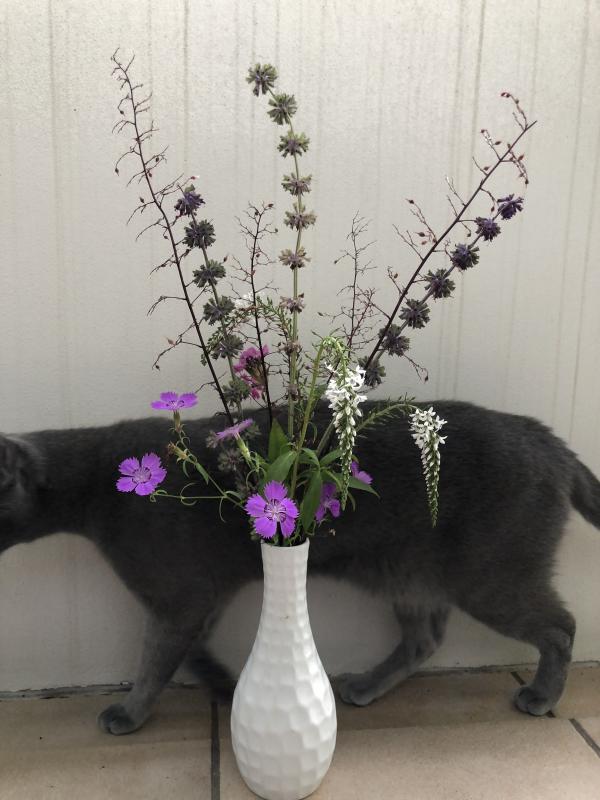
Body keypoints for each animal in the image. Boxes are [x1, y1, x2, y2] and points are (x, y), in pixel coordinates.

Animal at [1, 400, 599, 735]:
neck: (97, 486)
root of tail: (552, 442)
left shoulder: (178, 598)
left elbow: (155, 662)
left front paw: (129, 714)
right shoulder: (204, 595)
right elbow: (190, 651)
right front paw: (223, 684)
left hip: (490, 577)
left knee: (561, 628)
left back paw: (542, 696)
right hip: (407, 573)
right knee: (425, 638)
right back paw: (366, 685)